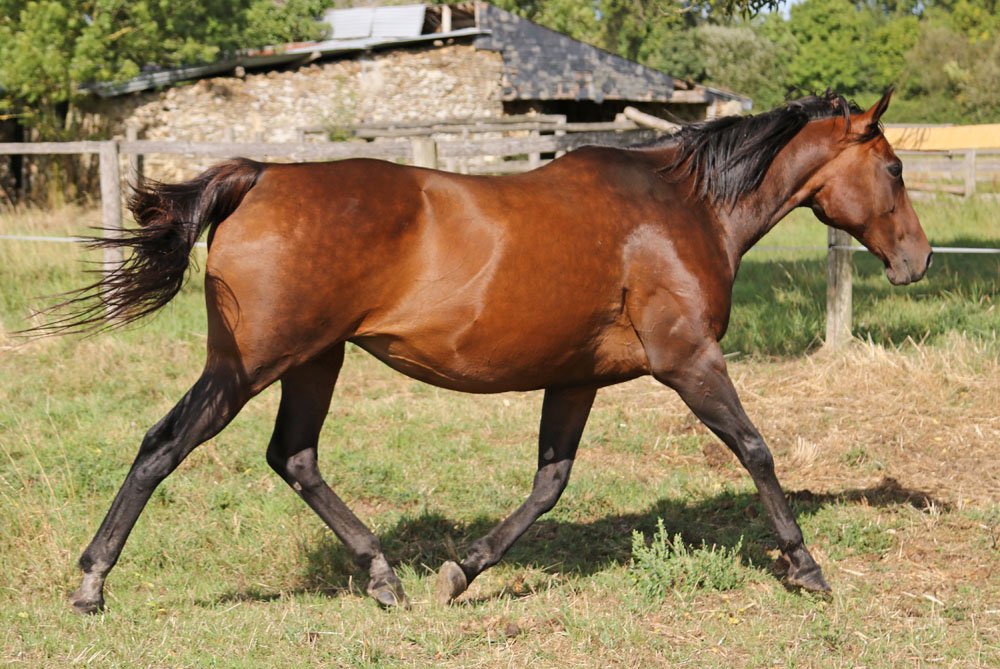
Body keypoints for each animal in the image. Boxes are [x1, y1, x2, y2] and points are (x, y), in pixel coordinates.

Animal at [39, 88, 930, 613]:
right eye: (893, 168)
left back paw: (384, 574)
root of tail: (258, 176)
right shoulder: (689, 359)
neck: (684, 207)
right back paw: (91, 582)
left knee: (293, 457)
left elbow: (549, 484)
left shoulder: (577, 377)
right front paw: (806, 566)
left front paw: (462, 570)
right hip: (247, 366)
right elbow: (755, 448)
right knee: (163, 444)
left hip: (315, 360)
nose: (916, 260)